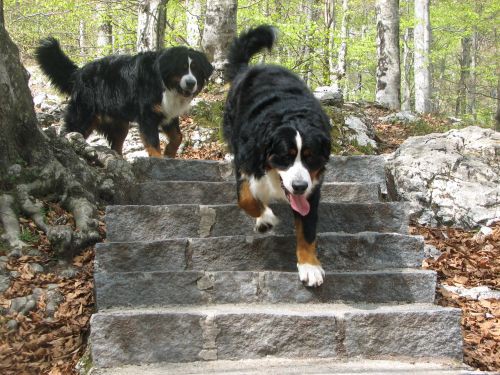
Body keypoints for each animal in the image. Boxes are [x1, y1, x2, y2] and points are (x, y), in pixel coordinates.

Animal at [35, 39, 213, 159]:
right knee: (71, 130)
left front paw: (169, 152)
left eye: (196, 69)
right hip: (83, 116)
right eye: (181, 68)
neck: (164, 84)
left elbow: (178, 137)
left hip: (120, 125)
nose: (191, 83)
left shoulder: (168, 113)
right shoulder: (148, 115)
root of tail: (78, 73)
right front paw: (159, 159)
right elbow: (153, 143)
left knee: (116, 146)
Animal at [223, 25, 332, 286]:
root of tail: (251, 68)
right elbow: (246, 198)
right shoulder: (246, 160)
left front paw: (310, 266)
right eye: (286, 156)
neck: (292, 115)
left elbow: (307, 228)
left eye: (310, 157)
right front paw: (265, 219)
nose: (300, 186)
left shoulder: (313, 186)